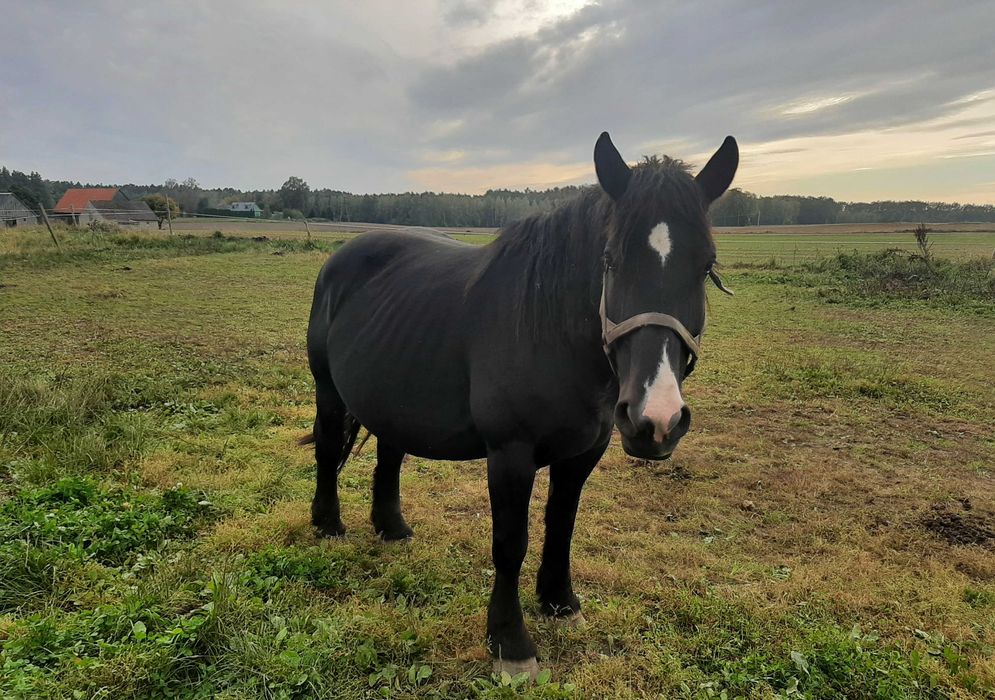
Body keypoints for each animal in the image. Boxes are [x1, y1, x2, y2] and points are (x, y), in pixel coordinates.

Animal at [304, 131, 740, 672]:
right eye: (611, 260)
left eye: (706, 265)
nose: (655, 420)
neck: (550, 334)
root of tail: (342, 255)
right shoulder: (510, 454)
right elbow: (511, 542)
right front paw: (510, 642)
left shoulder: (583, 452)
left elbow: (561, 524)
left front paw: (560, 602)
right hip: (328, 390)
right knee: (327, 448)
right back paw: (327, 523)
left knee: (390, 450)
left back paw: (392, 528)